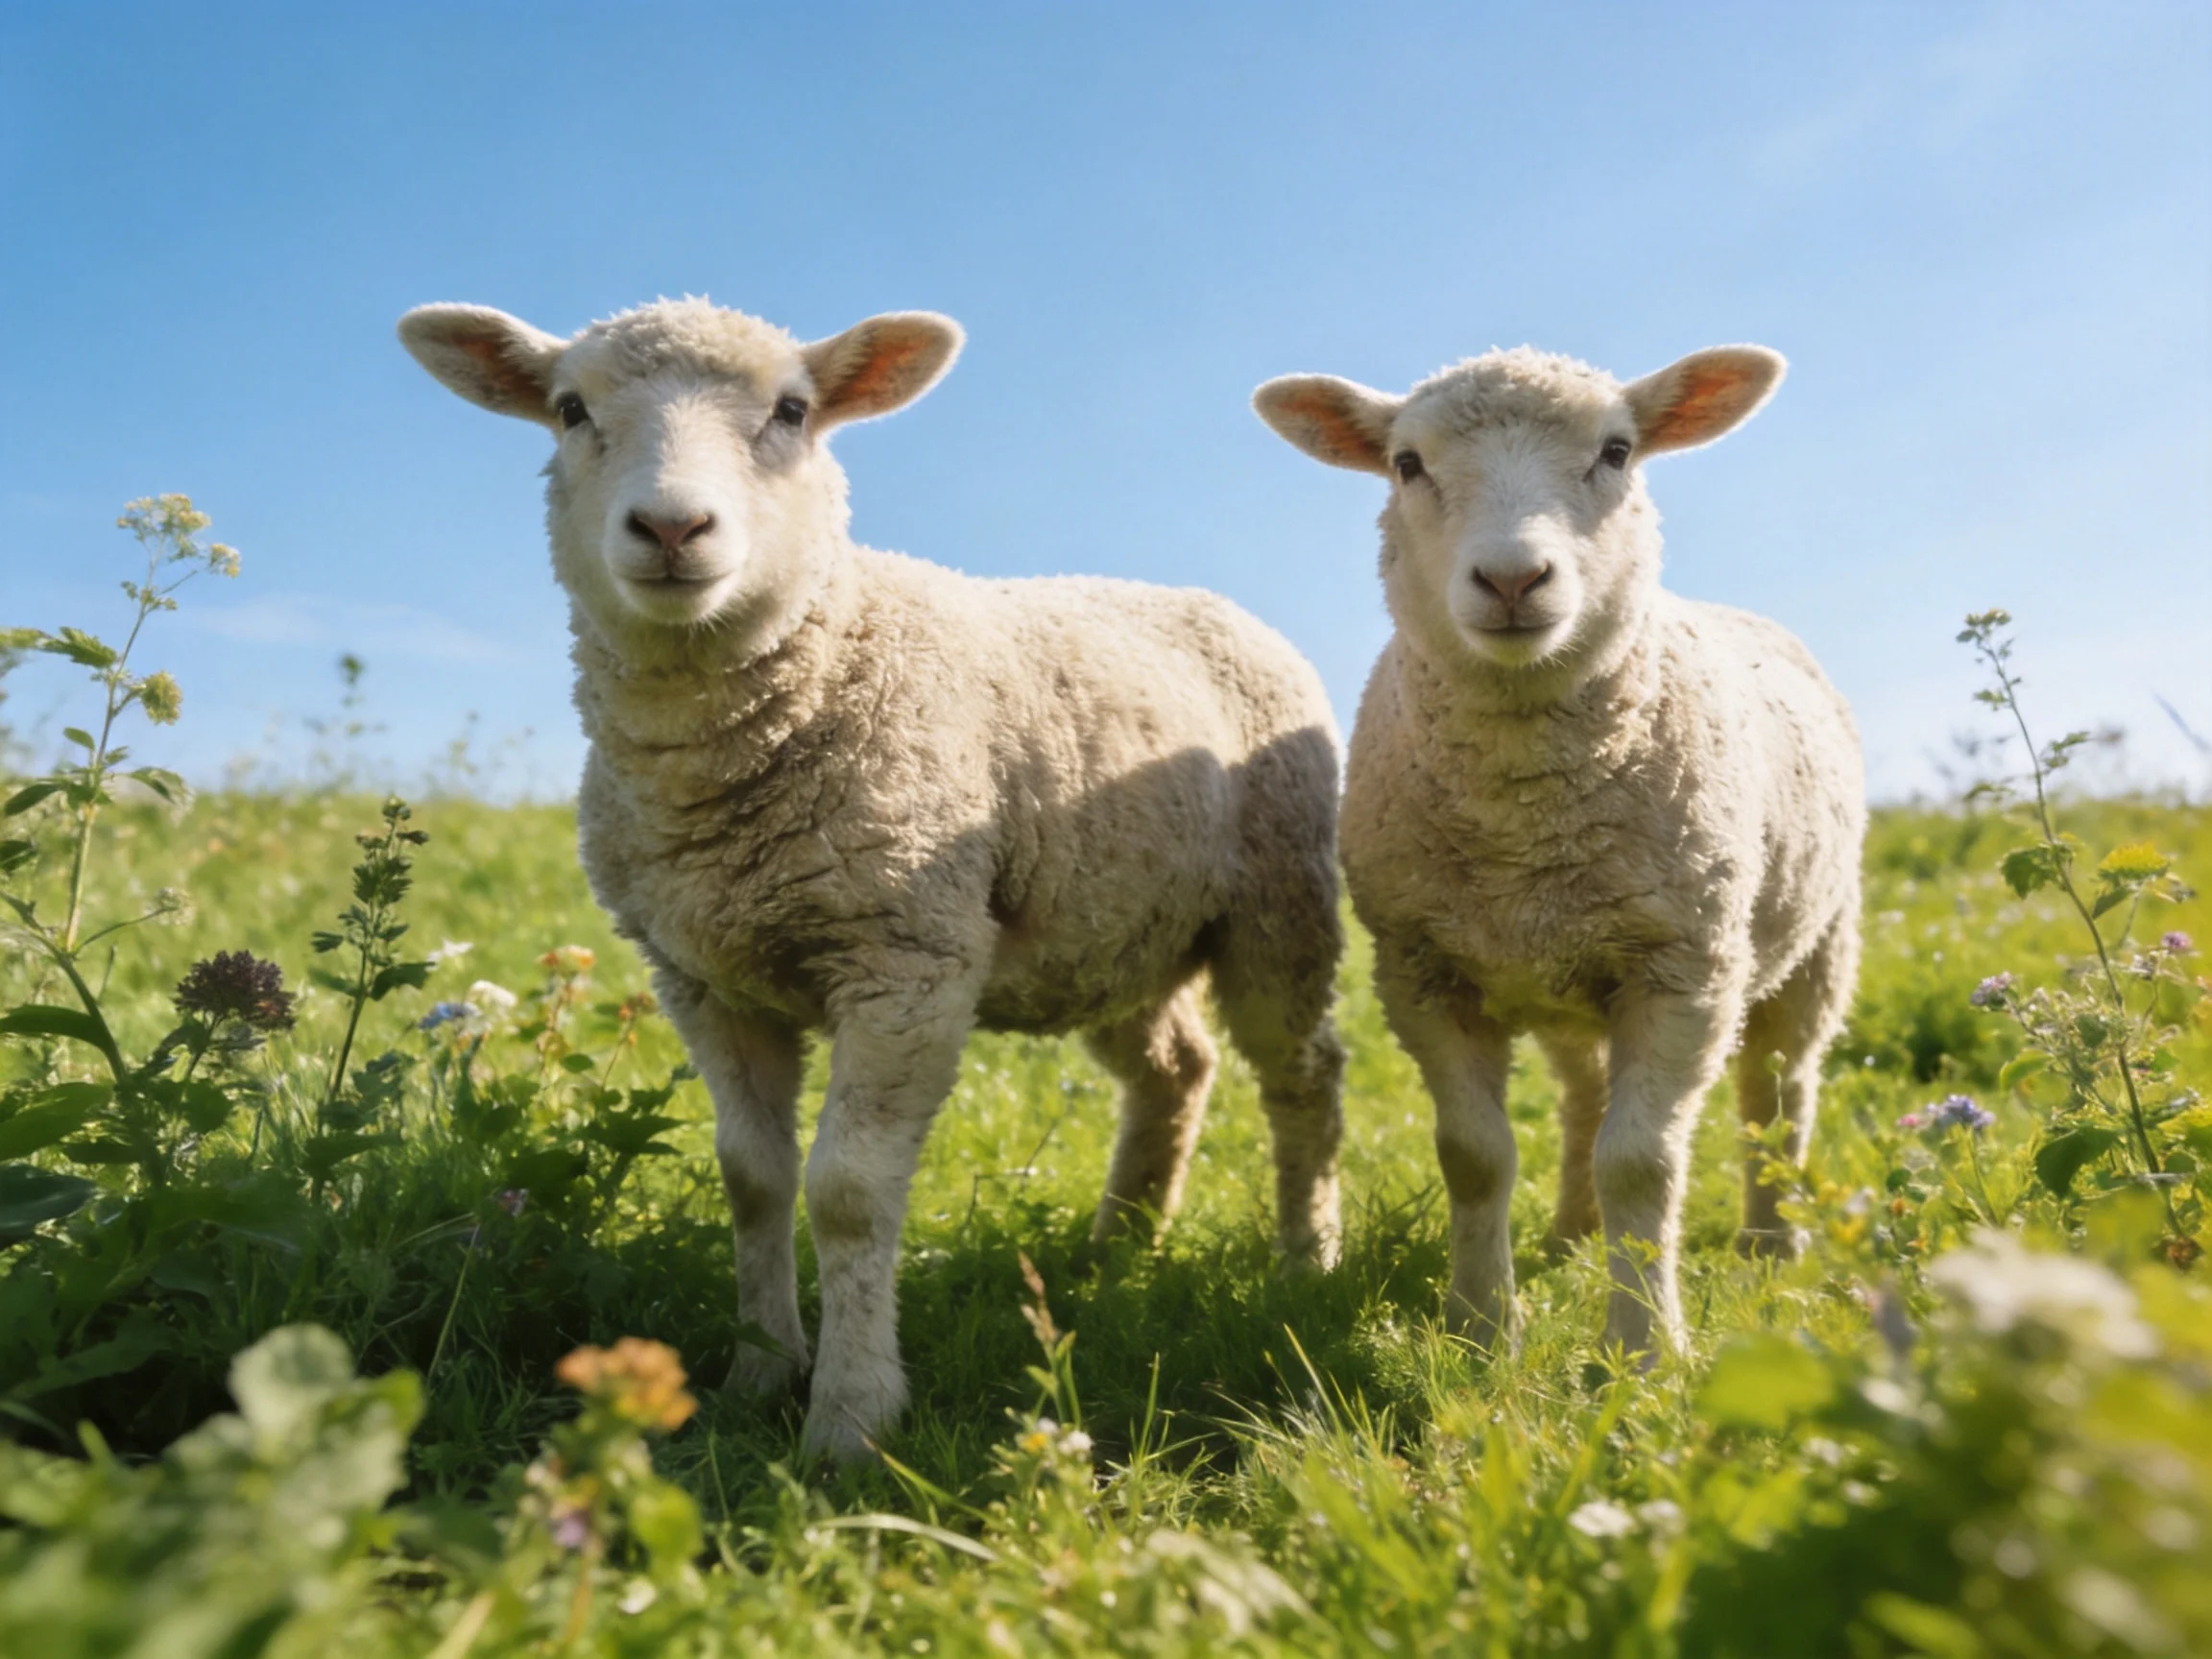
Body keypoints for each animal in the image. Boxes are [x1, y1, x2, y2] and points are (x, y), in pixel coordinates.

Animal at [398, 297, 1347, 1459]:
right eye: (571, 409)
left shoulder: (907, 956)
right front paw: (757, 1376)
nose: (671, 529)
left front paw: (851, 1419)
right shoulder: (703, 979)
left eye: (792, 412)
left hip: (1277, 901)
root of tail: (1201, 599)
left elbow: (846, 1191)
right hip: (1111, 925)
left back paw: (1305, 1264)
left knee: (1303, 1074)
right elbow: (753, 1181)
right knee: (1176, 1068)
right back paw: (1118, 1247)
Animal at [1252, 343, 1863, 1359]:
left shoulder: (1686, 968)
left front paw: (1645, 1348)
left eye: (1616, 452)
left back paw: (1772, 1243)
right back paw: (1572, 1232)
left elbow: (1643, 1163)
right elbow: (1473, 1156)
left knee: (1778, 1095)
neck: (1523, 824)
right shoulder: (1421, 970)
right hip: (1564, 975)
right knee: (1585, 1097)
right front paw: (1480, 1327)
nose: (1511, 580)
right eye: (1407, 464)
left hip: (1814, 945)